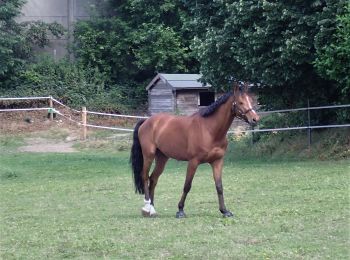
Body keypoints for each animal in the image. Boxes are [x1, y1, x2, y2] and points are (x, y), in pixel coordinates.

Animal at [130, 83, 258, 217]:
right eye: (240, 102)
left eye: (250, 100)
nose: (255, 119)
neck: (209, 130)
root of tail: (147, 120)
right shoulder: (193, 162)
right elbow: (187, 185)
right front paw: (180, 210)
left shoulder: (217, 161)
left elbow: (219, 186)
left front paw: (224, 210)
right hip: (148, 155)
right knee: (145, 176)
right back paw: (146, 208)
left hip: (162, 158)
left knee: (153, 179)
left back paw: (152, 209)